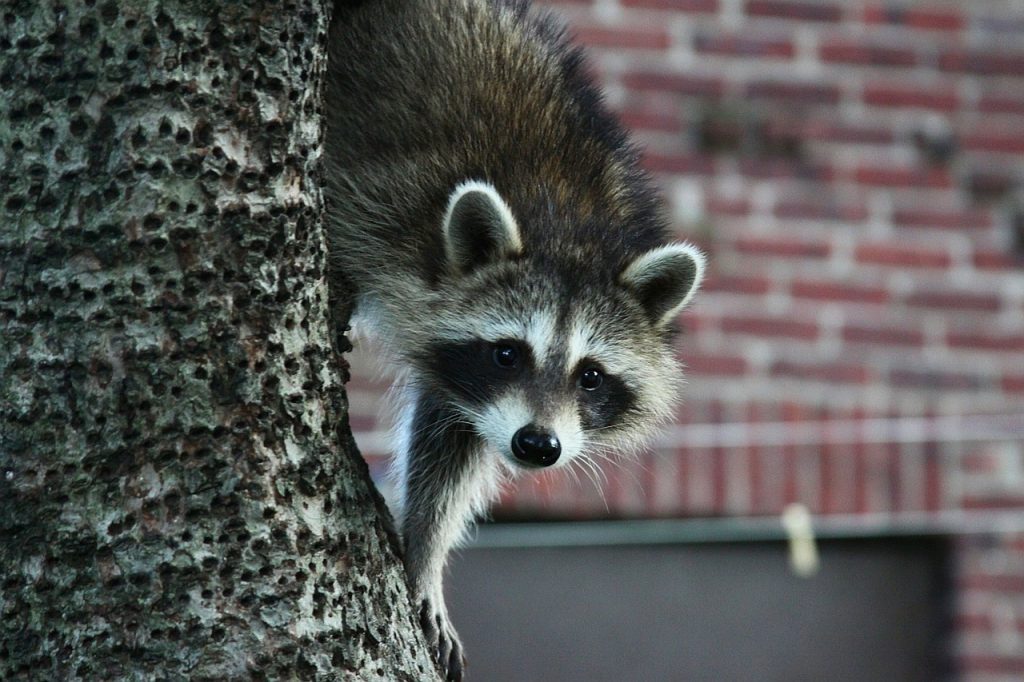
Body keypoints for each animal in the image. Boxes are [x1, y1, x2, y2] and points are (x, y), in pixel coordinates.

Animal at [326, 1, 704, 678]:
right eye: (507, 353)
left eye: (591, 375)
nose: (537, 445)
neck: (567, 226)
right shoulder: (380, 203)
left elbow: (453, 442)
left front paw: (424, 550)